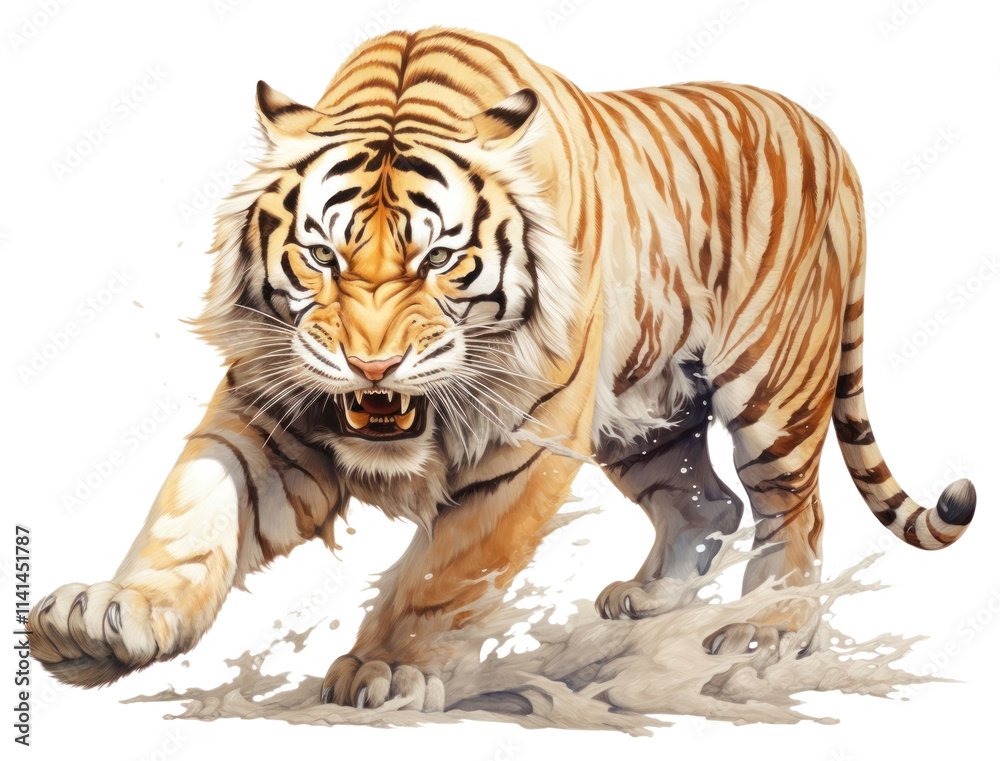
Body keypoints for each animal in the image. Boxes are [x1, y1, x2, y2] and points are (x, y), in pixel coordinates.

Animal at [28, 27, 976, 711]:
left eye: (440, 259)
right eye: (321, 256)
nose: (372, 361)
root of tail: (823, 131)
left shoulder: (524, 441)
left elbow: (446, 570)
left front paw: (385, 669)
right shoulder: (270, 406)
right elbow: (192, 511)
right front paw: (105, 621)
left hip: (773, 389)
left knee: (793, 513)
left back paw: (764, 630)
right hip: (649, 416)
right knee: (707, 499)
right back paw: (648, 601)